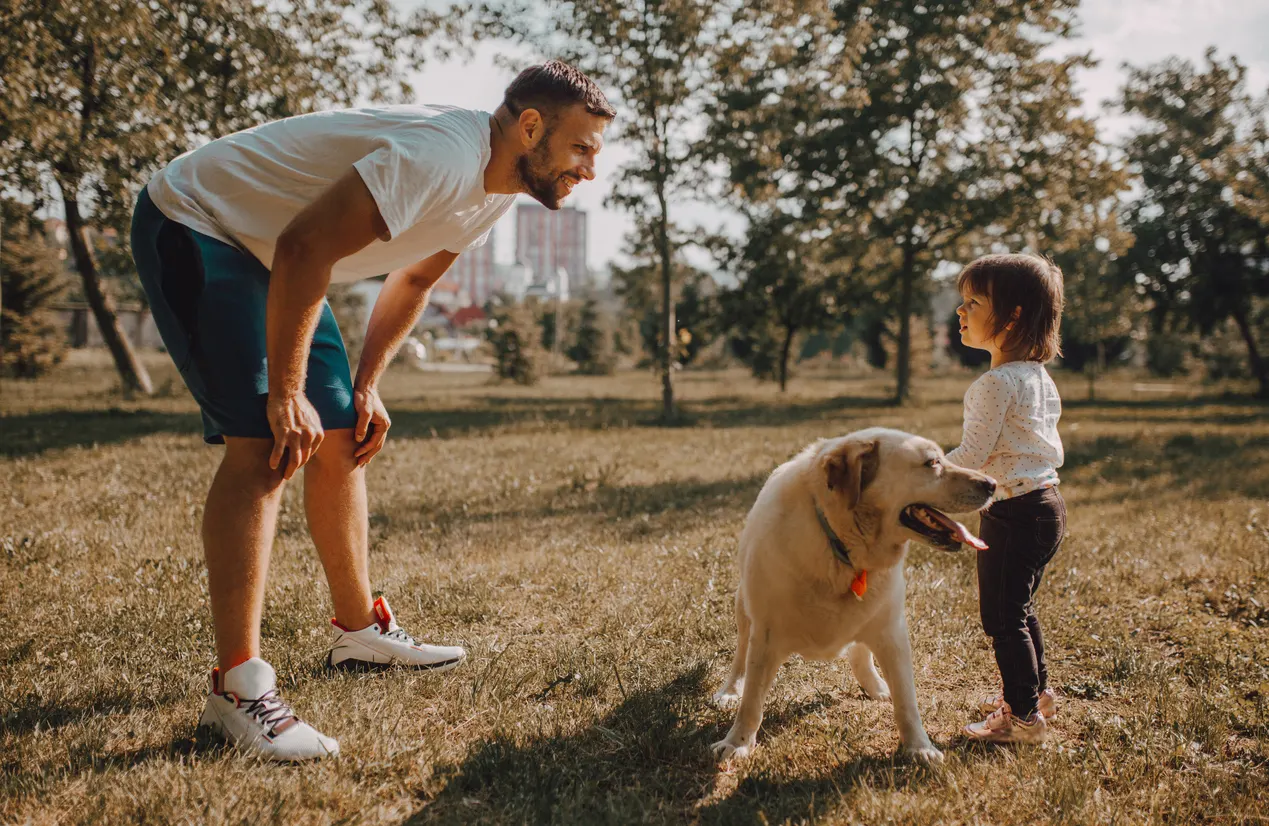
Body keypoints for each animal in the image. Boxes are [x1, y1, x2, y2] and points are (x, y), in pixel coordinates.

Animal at [710, 428, 994, 766]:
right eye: (932, 463)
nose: (992, 484)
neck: (842, 548)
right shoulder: (766, 636)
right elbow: (752, 700)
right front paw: (737, 743)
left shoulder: (892, 632)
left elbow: (906, 701)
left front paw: (919, 747)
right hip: (744, 609)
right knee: (741, 655)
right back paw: (731, 690)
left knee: (860, 651)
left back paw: (874, 684)